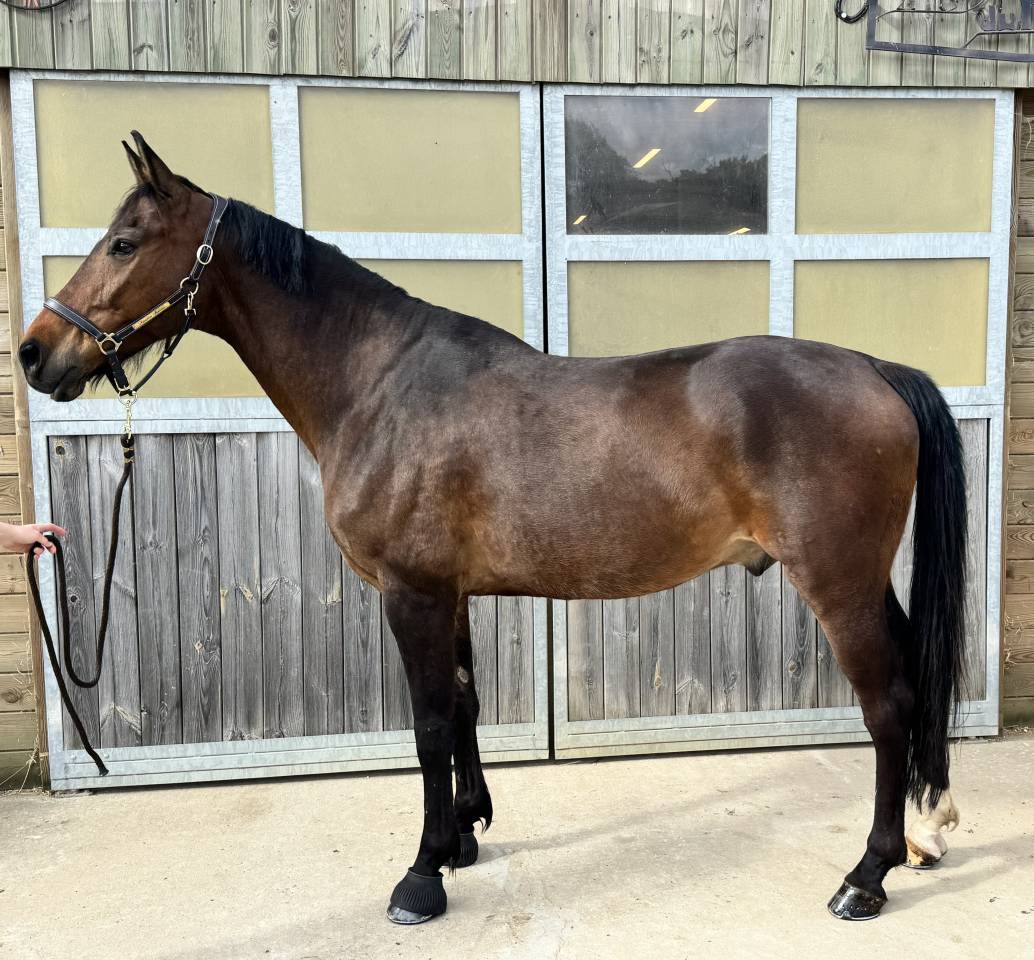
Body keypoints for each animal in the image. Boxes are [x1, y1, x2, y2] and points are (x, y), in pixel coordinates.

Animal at [20, 133, 965, 925]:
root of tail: (874, 369)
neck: (378, 383)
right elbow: (466, 703)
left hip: (837, 584)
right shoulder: (449, 594)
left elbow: (431, 724)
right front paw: (464, 835)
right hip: (865, 582)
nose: (34, 353)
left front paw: (420, 875)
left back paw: (866, 876)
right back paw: (928, 833)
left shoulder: (410, 593)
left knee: (888, 705)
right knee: (915, 686)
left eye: (125, 243)